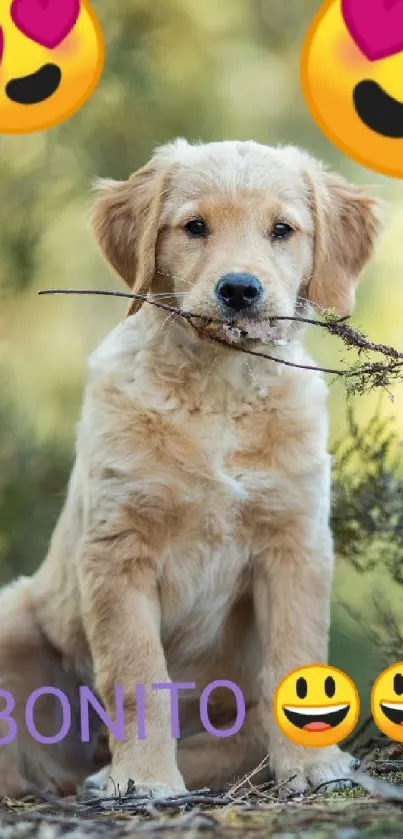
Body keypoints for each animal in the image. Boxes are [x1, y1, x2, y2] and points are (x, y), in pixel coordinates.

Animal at [0, 139, 382, 800]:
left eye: (282, 230)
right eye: (195, 227)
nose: (239, 290)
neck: (220, 391)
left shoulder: (295, 543)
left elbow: (295, 651)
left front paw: (312, 767)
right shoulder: (118, 550)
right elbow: (136, 675)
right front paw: (146, 780)